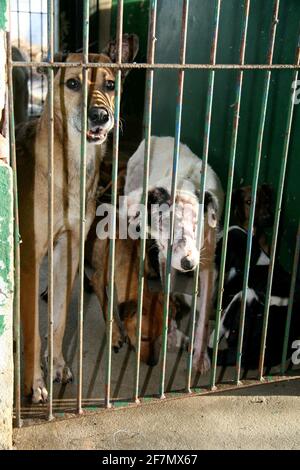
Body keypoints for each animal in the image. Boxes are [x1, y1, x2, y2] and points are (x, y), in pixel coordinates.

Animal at [15, 35, 139, 402]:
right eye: (73, 84)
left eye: (110, 85)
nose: (100, 116)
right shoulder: (30, 258)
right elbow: (32, 332)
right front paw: (35, 384)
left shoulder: (69, 249)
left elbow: (57, 320)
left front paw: (56, 365)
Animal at [123, 137, 224, 374]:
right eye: (164, 223)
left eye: (196, 225)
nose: (187, 263)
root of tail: (157, 137)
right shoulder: (164, 259)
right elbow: (167, 294)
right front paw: (170, 332)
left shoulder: (208, 264)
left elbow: (203, 315)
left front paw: (200, 356)